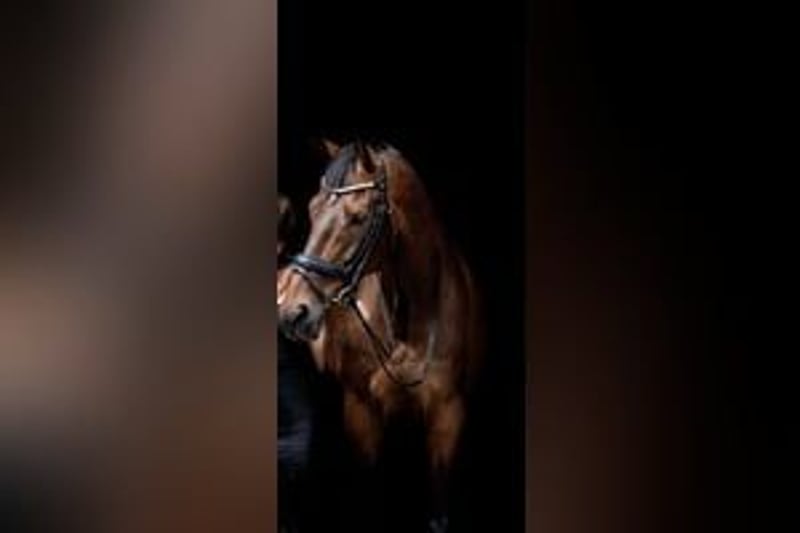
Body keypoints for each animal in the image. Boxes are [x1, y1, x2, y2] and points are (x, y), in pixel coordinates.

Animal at [278, 141, 483, 532]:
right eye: (312, 209)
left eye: (358, 217)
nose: (292, 312)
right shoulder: (361, 412)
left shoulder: (448, 414)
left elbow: (438, 515)